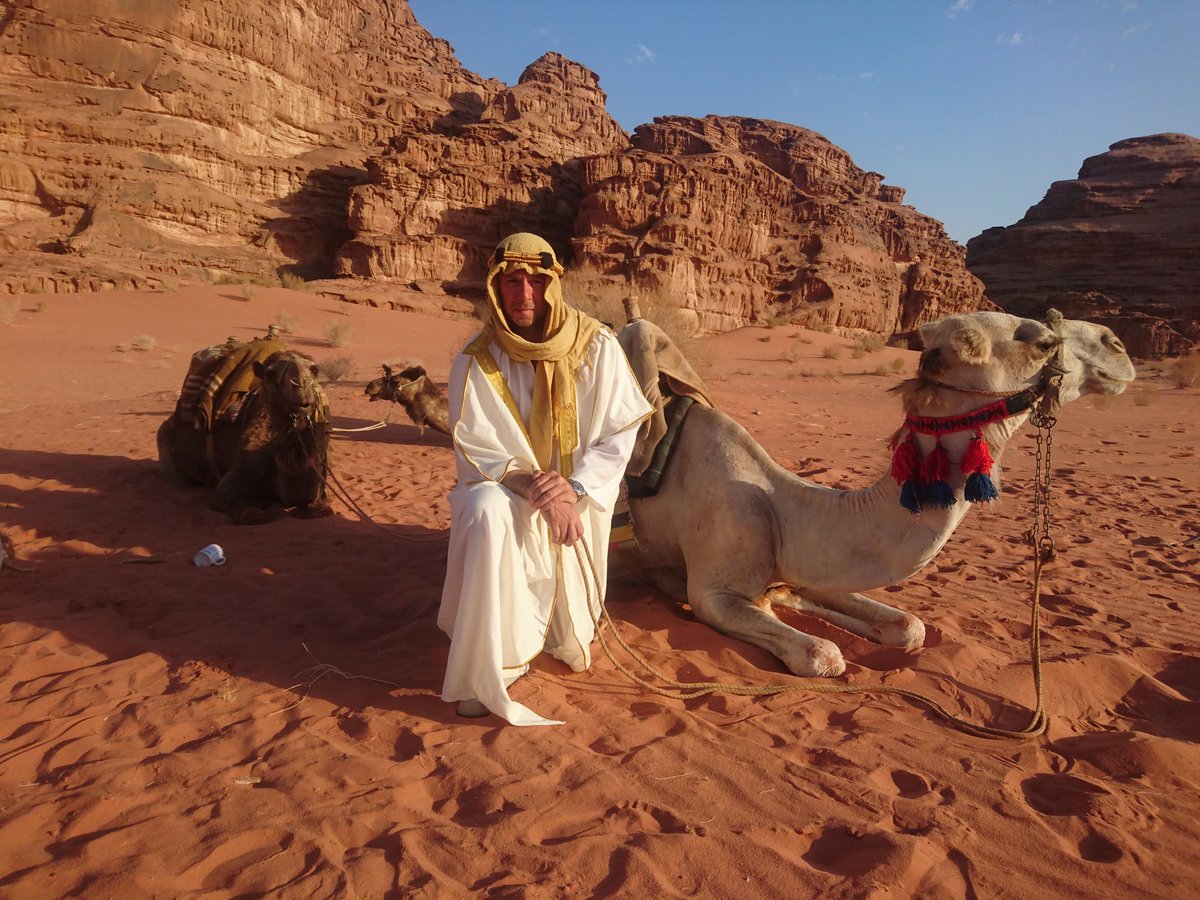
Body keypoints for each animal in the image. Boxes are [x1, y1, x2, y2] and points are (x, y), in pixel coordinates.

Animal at [157, 348, 334, 525]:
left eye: (315, 370)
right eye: (270, 374)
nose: (301, 386)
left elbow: (322, 508)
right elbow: (250, 512)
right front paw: (256, 512)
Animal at [617, 311, 1135, 676]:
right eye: (1042, 343)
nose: (1117, 345)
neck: (784, 508)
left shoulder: (807, 563)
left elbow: (910, 626)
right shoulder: (714, 590)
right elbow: (824, 655)